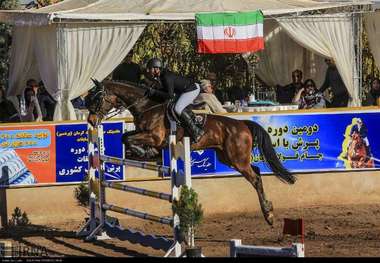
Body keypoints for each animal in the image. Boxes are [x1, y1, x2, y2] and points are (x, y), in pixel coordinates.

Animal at [86, 79, 296, 226]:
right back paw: (268, 211)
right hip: (228, 158)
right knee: (257, 172)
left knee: (256, 178)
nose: (90, 121)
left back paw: (269, 215)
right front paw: (146, 152)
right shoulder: (142, 133)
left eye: (97, 98)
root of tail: (243, 124)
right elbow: (125, 137)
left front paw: (145, 152)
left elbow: (129, 139)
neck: (146, 106)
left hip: (238, 160)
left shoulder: (154, 136)